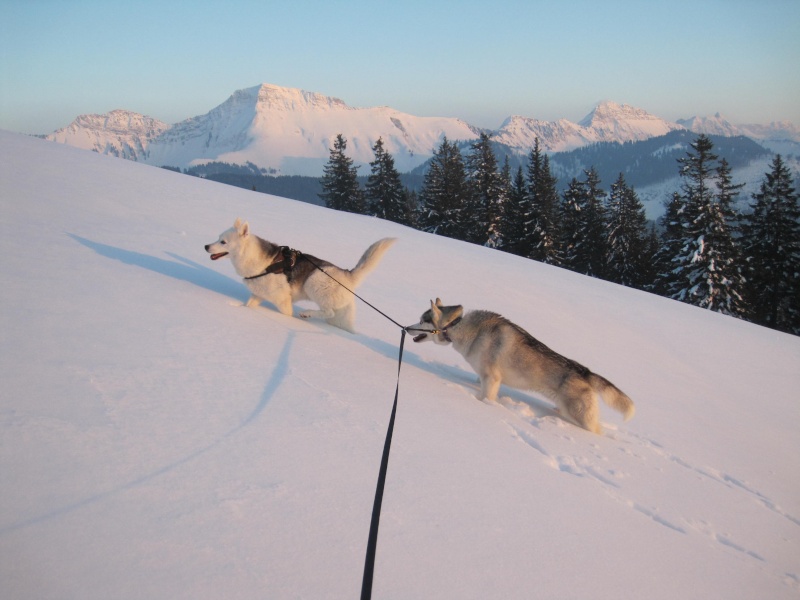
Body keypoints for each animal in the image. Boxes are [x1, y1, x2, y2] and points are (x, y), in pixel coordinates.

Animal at [205, 219, 396, 332]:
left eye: (223, 242)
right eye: (218, 238)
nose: (206, 246)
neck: (263, 263)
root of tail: (347, 274)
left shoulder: (283, 300)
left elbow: (286, 314)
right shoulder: (258, 295)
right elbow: (248, 305)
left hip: (313, 282)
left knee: (328, 312)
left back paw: (307, 314)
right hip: (341, 316)